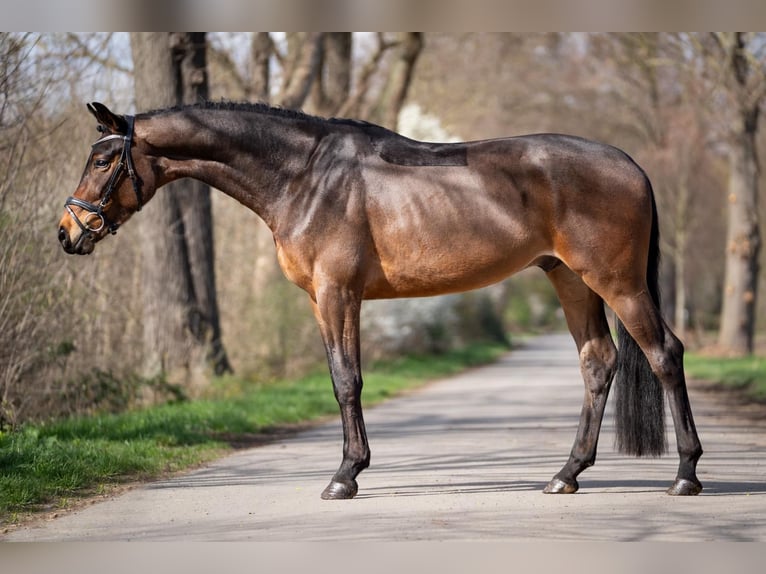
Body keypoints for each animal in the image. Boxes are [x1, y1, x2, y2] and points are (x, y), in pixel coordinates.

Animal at [58, 101, 708, 498]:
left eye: (102, 159)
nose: (68, 232)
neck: (305, 175)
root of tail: (629, 164)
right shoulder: (328, 299)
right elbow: (343, 378)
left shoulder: (336, 294)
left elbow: (346, 380)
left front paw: (345, 475)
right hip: (570, 280)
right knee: (599, 362)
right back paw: (565, 474)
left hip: (616, 282)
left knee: (664, 354)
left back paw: (685, 474)